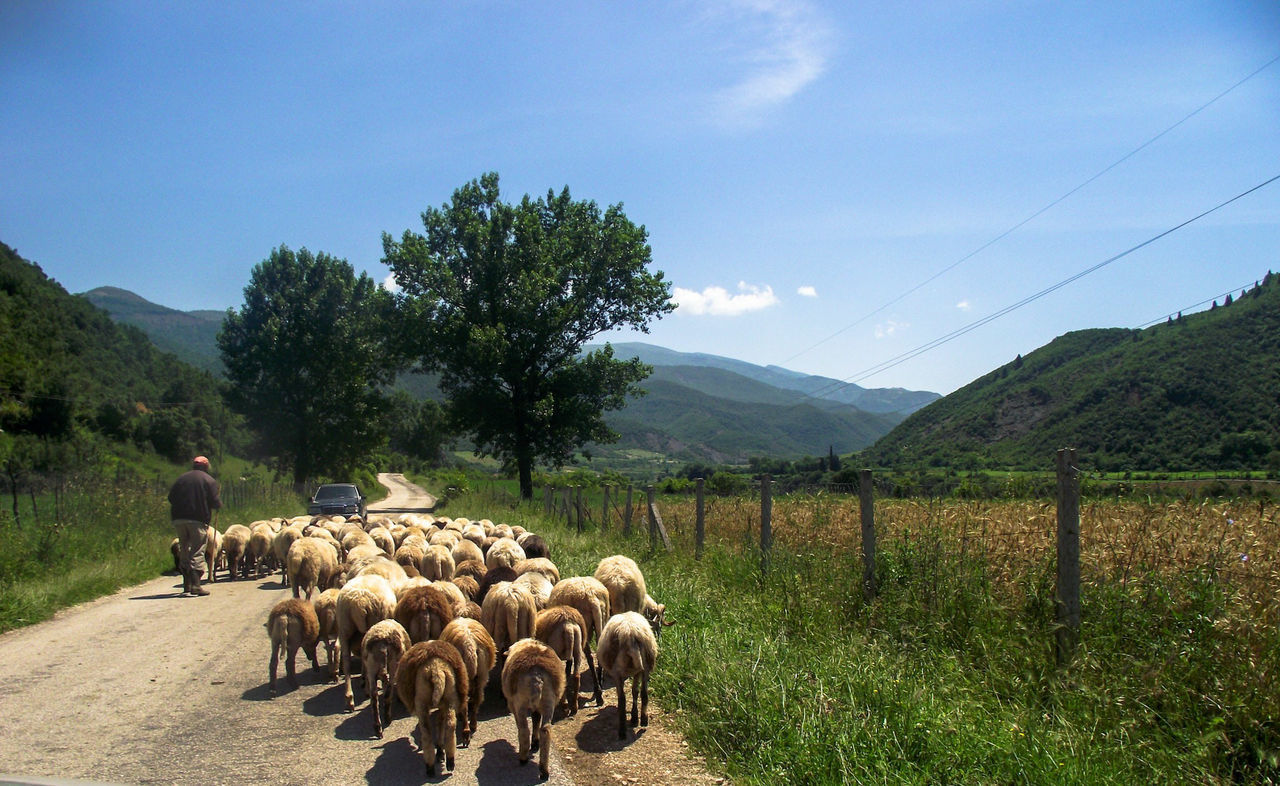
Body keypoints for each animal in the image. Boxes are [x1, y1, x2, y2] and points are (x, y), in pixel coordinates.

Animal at [394, 642, 471, 778]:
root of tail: (436, 669)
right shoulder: (442, 705)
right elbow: (440, 724)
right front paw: (440, 752)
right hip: (451, 696)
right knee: (450, 725)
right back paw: (450, 760)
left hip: (421, 702)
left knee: (427, 733)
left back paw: (429, 767)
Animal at [442, 619, 496, 747]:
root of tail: (469, 644)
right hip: (482, 674)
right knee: (478, 698)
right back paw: (473, 725)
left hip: (463, 676)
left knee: (465, 704)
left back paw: (466, 733)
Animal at [499, 640, 565, 783]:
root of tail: (536, 676)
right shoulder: (538, 708)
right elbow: (536, 719)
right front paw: (535, 742)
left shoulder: (512, 705)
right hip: (548, 702)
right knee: (545, 730)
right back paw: (544, 771)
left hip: (520, 704)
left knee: (524, 729)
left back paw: (523, 758)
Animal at [596, 611, 660, 742]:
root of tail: (631, 634)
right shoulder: (636, 673)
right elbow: (635, 691)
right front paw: (634, 718)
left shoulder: (618, 674)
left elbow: (626, 696)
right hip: (646, 667)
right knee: (644, 693)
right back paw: (644, 719)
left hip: (618, 671)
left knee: (622, 699)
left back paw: (622, 732)